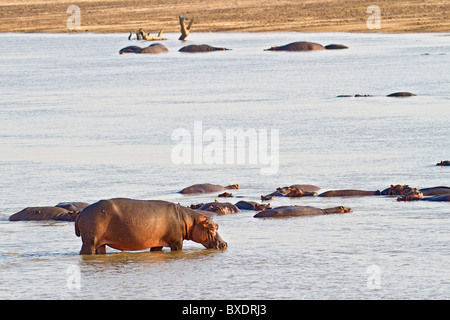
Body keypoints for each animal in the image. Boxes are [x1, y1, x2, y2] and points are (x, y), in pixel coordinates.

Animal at [76, 198, 229, 255]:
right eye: (212, 227)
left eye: (217, 225)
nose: (224, 243)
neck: (190, 220)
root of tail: (81, 212)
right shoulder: (176, 241)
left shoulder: (157, 243)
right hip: (90, 242)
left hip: (100, 243)